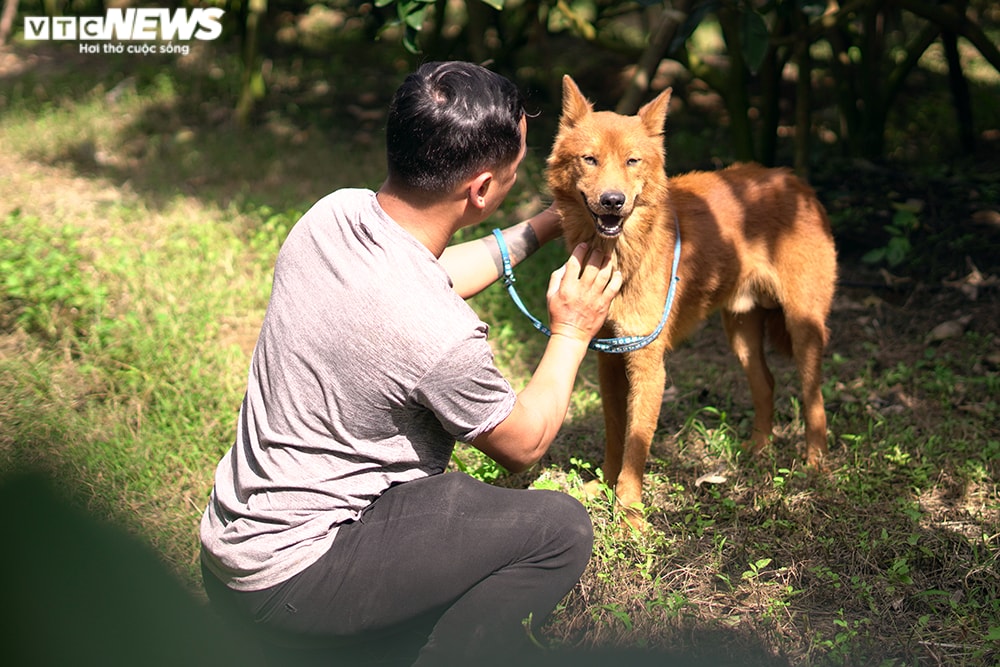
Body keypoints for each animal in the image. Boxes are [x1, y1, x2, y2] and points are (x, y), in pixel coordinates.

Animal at [548, 77, 836, 528]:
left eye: (632, 161)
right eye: (589, 159)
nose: (612, 201)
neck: (622, 255)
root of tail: (795, 182)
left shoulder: (648, 366)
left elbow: (636, 445)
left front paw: (629, 515)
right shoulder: (608, 360)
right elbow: (614, 434)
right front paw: (604, 486)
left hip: (803, 327)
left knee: (814, 398)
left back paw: (814, 465)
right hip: (741, 336)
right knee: (767, 384)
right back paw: (758, 453)